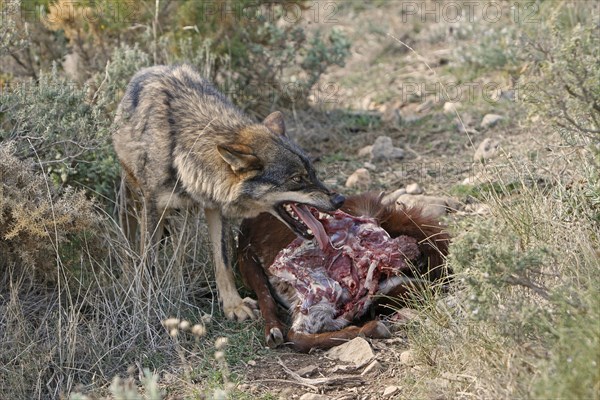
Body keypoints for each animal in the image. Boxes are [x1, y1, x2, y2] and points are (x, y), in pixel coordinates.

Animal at [112, 65, 344, 322]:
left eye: (313, 173)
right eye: (297, 179)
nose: (339, 199)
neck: (183, 153)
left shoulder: (214, 207)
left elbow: (222, 261)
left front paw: (233, 305)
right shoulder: (153, 208)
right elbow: (149, 260)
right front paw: (147, 303)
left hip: (183, 215)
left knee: (178, 253)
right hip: (132, 200)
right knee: (131, 246)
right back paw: (127, 279)